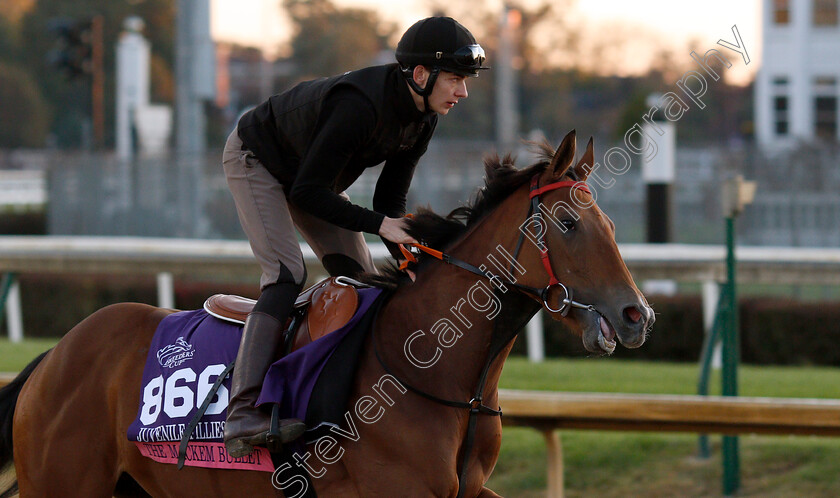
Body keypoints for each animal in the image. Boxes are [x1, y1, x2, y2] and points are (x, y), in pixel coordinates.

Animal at [0, 130, 656, 496]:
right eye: (567, 224)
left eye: (609, 223)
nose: (637, 316)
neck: (425, 372)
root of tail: (54, 357)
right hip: (61, 484)